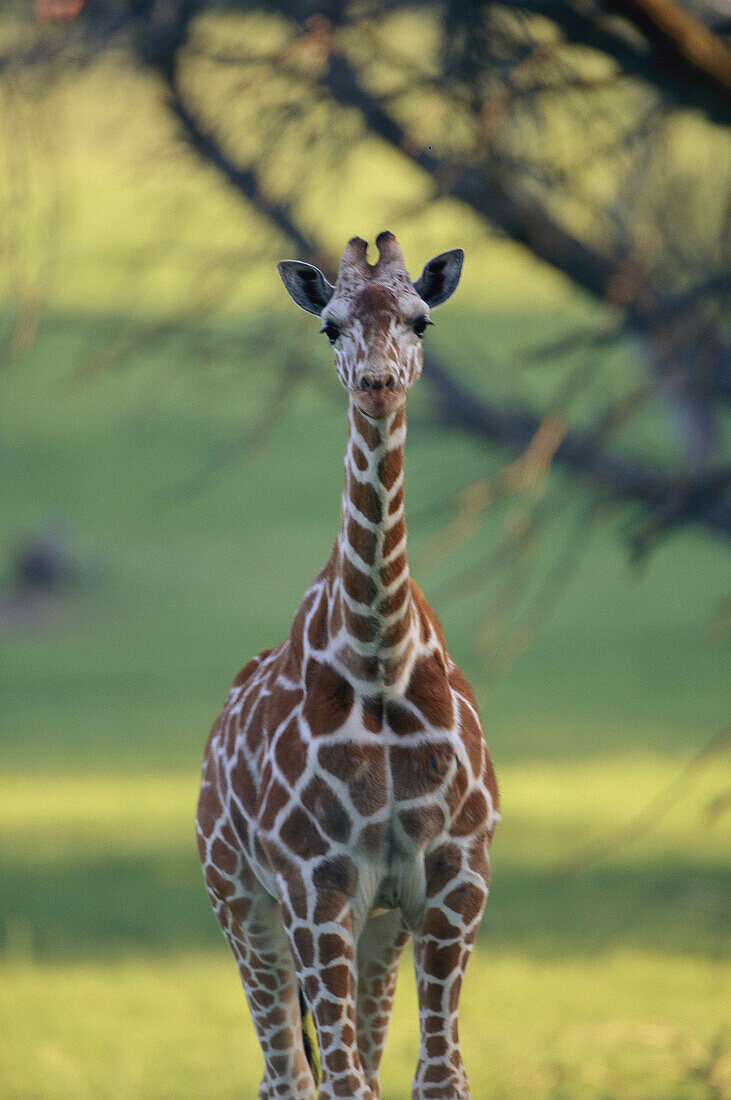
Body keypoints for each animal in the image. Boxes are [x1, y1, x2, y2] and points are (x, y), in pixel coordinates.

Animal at [196, 232, 499, 1100]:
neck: (380, 660)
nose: (376, 383)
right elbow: (341, 1081)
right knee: (285, 1075)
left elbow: (436, 1078)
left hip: (378, 929)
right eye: (330, 326)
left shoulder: (452, 883)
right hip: (240, 902)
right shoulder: (315, 888)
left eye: (420, 319)